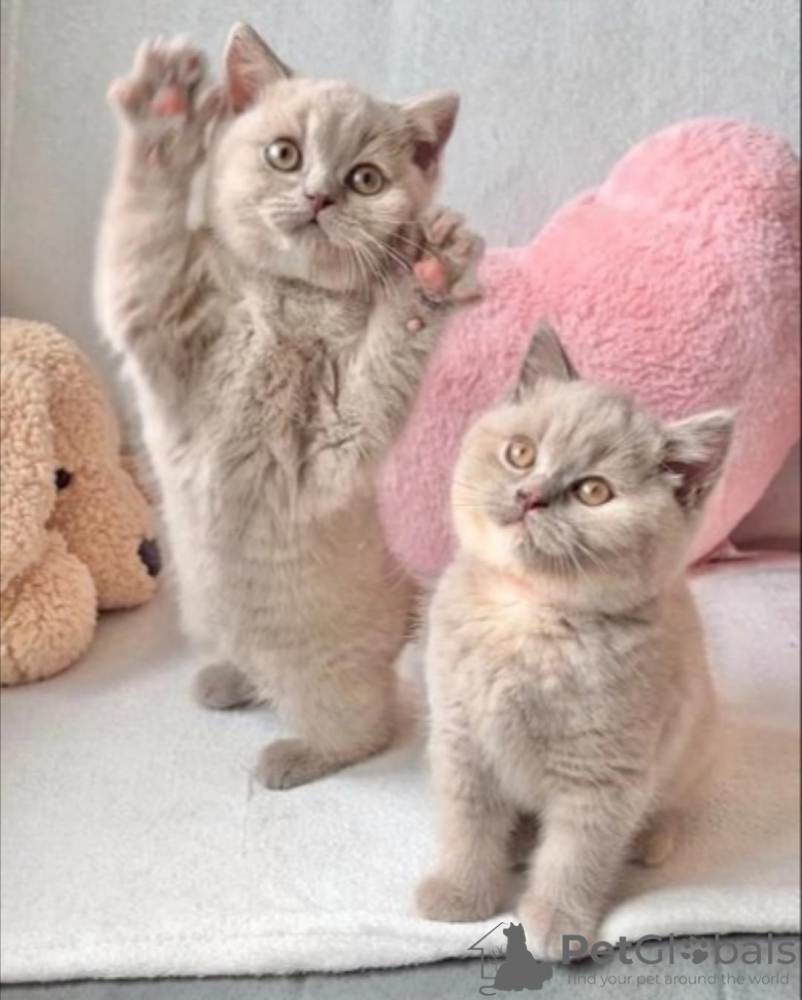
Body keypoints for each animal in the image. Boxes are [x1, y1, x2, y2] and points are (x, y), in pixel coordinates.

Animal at [95, 23, 484, 789]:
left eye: (365, 178)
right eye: (285, 154)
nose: (318, 196)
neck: (286, 304)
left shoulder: (333, 443)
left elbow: (386, 363)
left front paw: (430, 279)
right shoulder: (163, 317)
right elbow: (146, 240)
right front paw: (165, 113)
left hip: (316, 669)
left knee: (365, 725)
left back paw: (293, 755)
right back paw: (226, 680)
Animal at [414, 323, 733, 960]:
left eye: (592, 492)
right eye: (520, 453)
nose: (531, 495)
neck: (528, 617)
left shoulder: (603, 773)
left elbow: (574, 857)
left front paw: (555, 924)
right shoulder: (461, 740)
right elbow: (467, 826)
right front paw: (460, 895)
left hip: (694, 749)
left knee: (669, 804)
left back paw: (651, 838)